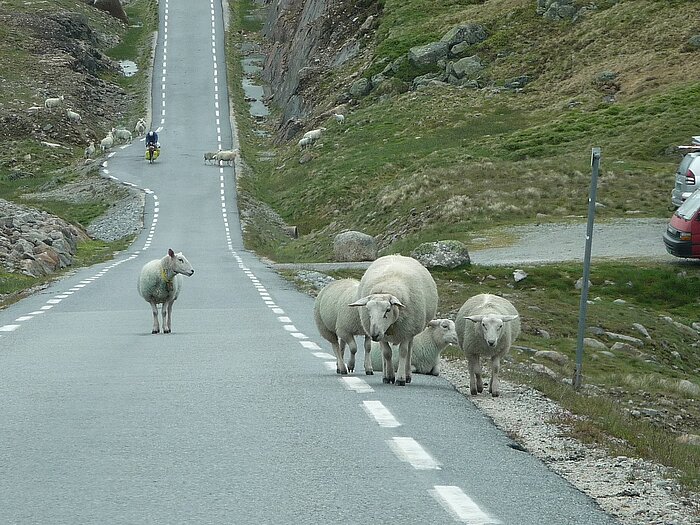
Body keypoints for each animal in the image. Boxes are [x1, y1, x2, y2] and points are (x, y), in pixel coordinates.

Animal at [350, 254, 438, 384]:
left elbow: (403, 352)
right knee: (384, 353)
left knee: (409, 351)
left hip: (412, 330)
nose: (374, 335)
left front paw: (400, 378)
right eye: (368, 310)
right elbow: (387, 353)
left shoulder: (406, 331)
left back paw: (407, 375)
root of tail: (397, 255)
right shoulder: (382, 334)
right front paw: (390, 376)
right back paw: (385, 375)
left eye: (388, 310)